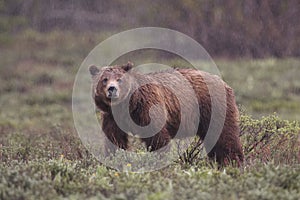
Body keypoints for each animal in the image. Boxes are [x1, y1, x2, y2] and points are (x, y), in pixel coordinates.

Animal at [89, 62, 244, 166]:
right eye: (104, 79)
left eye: (119, 79)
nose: (112, 89)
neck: (127, 105)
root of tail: (223, 82)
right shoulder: (112, 117)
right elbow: (114, 138)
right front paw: (113, 159)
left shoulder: (147, 108)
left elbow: (157, 138)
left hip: (213, 107)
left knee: (224, 136)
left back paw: (232, 162)